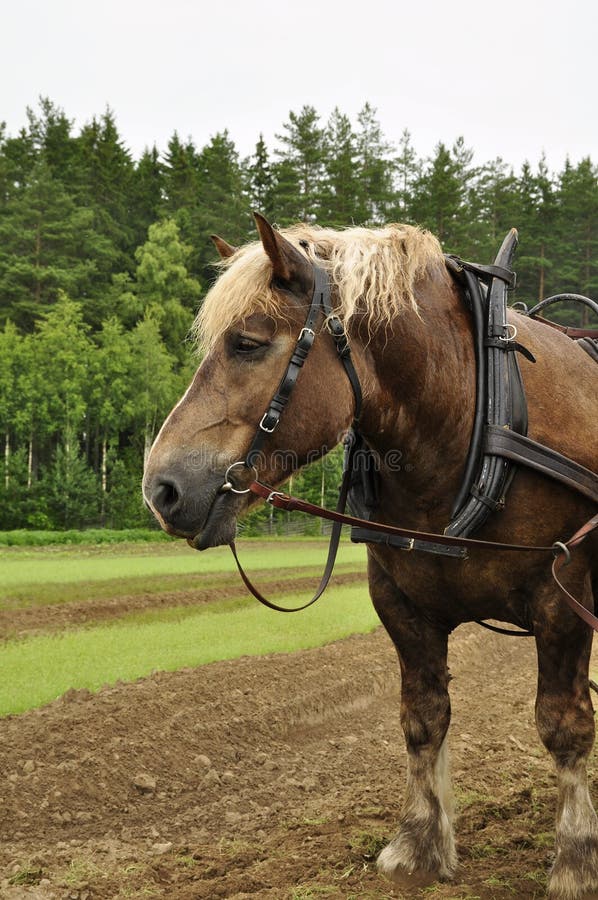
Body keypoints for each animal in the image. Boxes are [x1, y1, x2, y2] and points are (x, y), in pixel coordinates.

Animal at [144, 214, 598, 896]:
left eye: (247, 343)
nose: (161, 489)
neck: (471, 420)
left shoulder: (562, 602)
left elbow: (564, 726)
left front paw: (575, 859)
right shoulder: (401, 604)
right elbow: (423, 718)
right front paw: (418, 845)